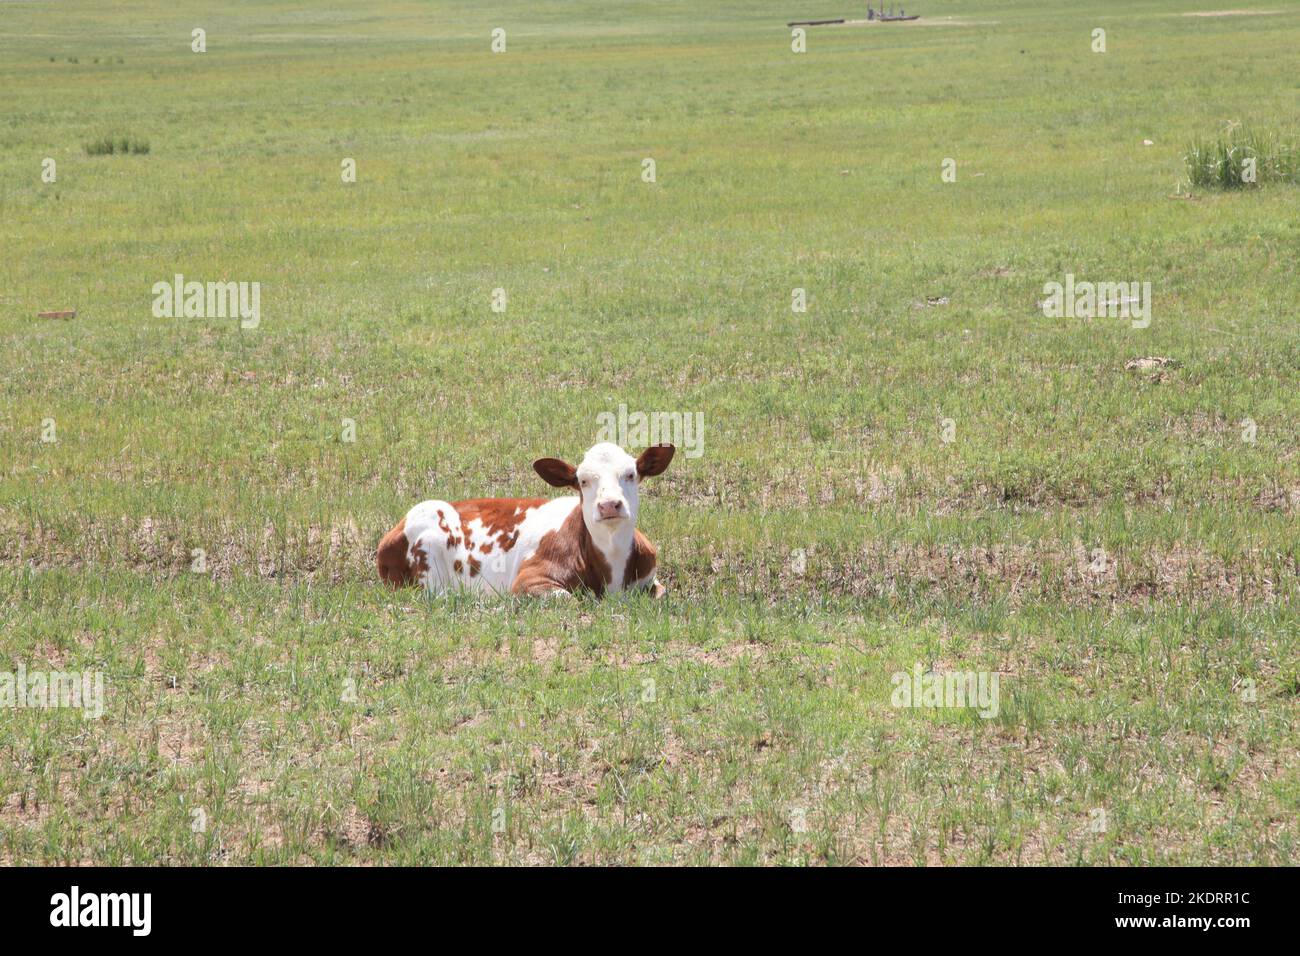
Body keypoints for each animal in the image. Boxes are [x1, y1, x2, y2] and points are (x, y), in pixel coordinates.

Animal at [377, 442, 676, 598]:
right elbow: (570, 597)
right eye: (582, 481)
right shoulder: (528, 579)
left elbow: (661, 593)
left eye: (630, 474)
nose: (609, 505)